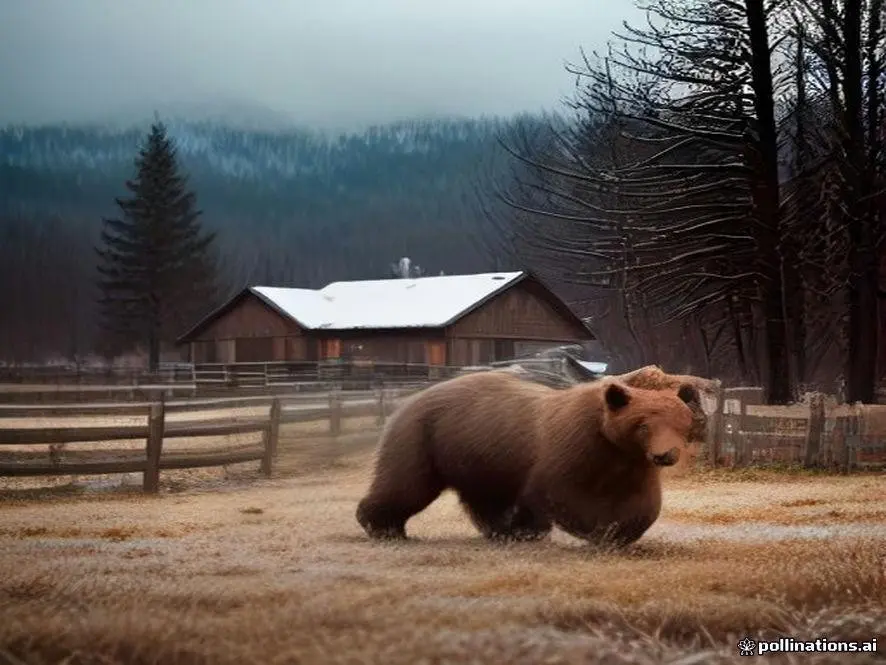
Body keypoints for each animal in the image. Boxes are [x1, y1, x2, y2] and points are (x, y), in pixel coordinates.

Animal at [355, 369, 700, 547]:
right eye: (643, 425)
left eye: (682, 424)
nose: (666, 455)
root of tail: (406, 402)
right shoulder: (572, 447)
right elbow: (557, 491)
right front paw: (600, 530)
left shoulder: (632, 463)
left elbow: (643, 502)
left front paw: (622, 531)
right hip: (424, 438)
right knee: (407, 486)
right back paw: (383, 527)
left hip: (479, 455)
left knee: (485, 498)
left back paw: (502, 530)